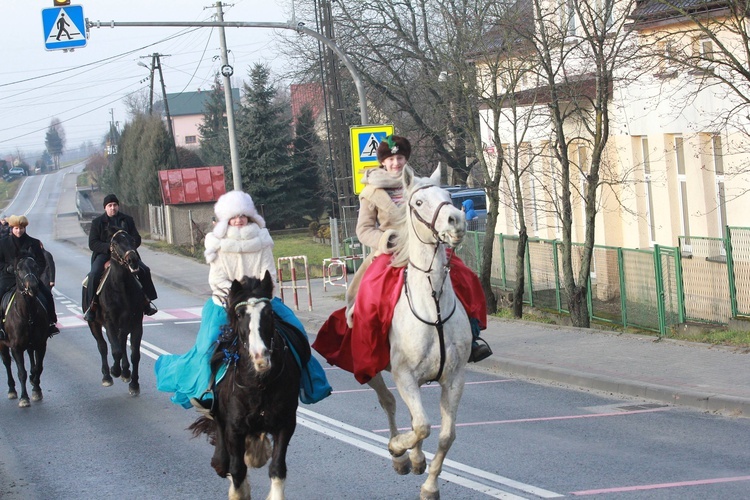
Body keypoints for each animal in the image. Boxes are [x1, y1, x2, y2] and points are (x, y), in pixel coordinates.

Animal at [0, 256, 49, 408]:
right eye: (18, 269)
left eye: (35, 266)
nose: (33, 287)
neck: (28, 314)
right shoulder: (16, 347)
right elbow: (21, 372)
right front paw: (24, 398)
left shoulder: (41, 344)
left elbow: (38, 367)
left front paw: (37, 391)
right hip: (2, 344)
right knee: (7, 362)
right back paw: (11, 390)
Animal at [83, 229, 146, 396]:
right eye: (115, 243)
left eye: (132, 240)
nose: (132, 260)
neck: (122, 288)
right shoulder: (109, 322)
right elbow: (115, 350)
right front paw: (114, 371)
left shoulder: (136, 323)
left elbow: (135, 354)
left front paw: (134, 384)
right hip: (94, 324)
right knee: (103, 346)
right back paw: (107, 376)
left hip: (123, 326)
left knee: (122, 342)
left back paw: (125, 372)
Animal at [189, 272, 304, 500]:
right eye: (240, 314)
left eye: (269, 312)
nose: (261, 359)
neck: (259, 383)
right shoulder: (234, 428)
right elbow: (236, 469)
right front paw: (240, 490)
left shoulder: (285, 424)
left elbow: (277, 468)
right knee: (223, 462)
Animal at [366, 165, 470, 500]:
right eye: (419, 202)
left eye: (448, 194)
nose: (456, 220)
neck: (432, 302)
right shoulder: (404, 375)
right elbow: (422, 425)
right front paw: (399, 448)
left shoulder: (454, 378)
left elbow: (446, 435)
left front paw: (429, 485)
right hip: (371, 369)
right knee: (389, 402)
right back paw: (401, 457)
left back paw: (415, 459)